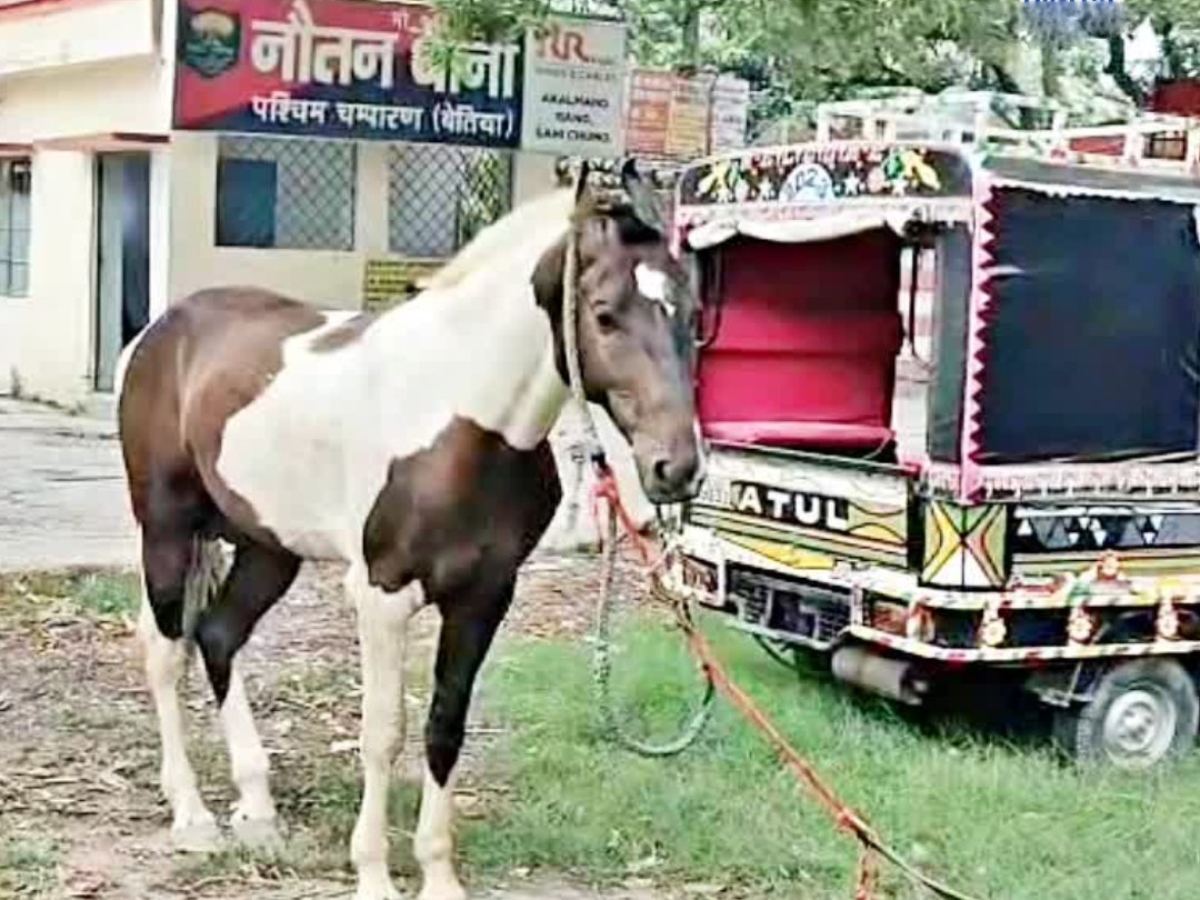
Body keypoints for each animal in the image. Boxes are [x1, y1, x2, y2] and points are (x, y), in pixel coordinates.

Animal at [115, 164, 704, 900]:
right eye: (603, 313)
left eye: (693, 314)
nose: (675, 468)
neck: (456, 418)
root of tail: (161, 331)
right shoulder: (382, 596)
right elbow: (384, 731)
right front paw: (373, 873)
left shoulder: (484, 596)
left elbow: (444, 726)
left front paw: (438, 874)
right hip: (166, 529)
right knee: (168, 651)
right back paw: (193, 816)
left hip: (268, 546)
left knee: (219, 636)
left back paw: (256, 808)